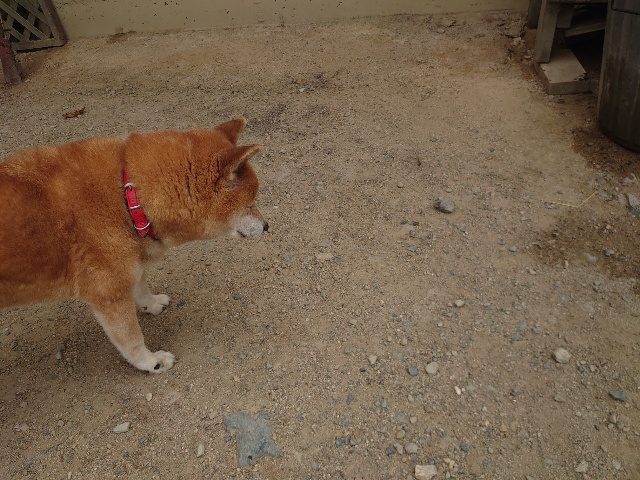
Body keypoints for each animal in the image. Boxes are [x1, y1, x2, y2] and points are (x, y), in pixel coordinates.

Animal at [0, 118, 267, 373]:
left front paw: (151, 303)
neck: (129, 197)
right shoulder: (109, 295)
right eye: (250, 204)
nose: (267, 226)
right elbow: (131, 339)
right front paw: (151, 362)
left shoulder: (132, 264)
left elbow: (140, 286)